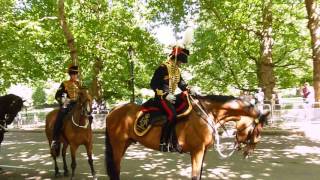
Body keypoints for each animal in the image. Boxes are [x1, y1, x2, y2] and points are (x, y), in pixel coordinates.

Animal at [105, 94, 270, 180]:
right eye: (256, 130)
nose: (249, 152)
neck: (207, 114)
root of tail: (113, 110)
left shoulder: (203, 151)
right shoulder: (197, 151)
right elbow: (195, 175)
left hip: (125, 143)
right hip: (118, 144)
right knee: (115, 168)